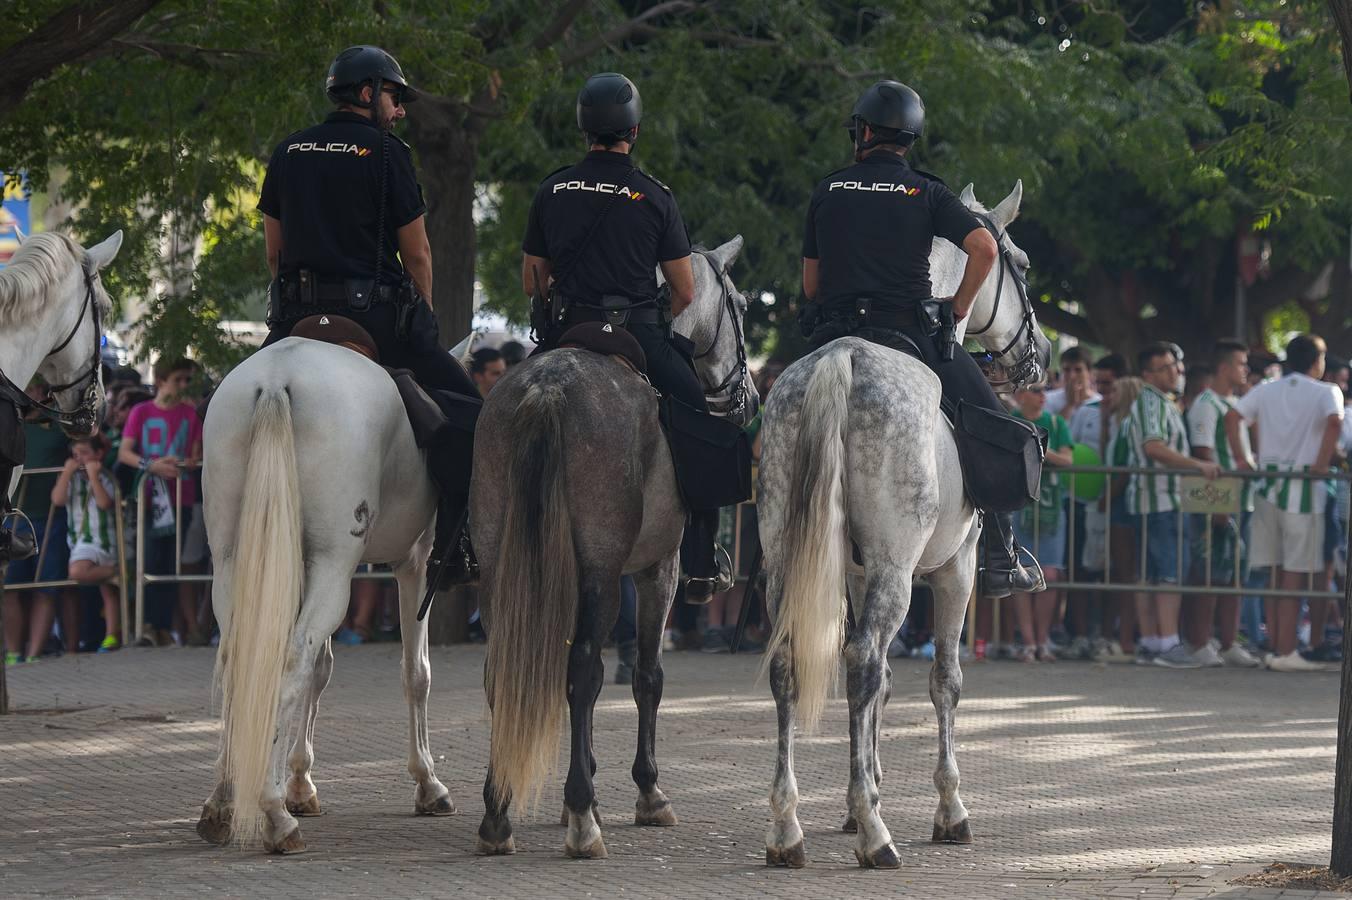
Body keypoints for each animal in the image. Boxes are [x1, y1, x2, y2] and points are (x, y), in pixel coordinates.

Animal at [197, 335, 456, 848]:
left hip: (236, 563)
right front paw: (428, 782)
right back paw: (274, 812)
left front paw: (300, 781)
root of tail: (277, 378)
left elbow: (320, 671)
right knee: (291, 658)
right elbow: (415, 673)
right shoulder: (415, 563)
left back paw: (223, 800)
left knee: (241, 658)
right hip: (336, 566)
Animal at [470, 232, 757, 854]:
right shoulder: (657, 569)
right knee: (583, 671)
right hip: (602, 572)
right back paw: (582, 818)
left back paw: (499, 812)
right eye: (743, 306)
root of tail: (547, 392)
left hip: (502, 565)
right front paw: (645, 792)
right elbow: (647, 676)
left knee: (504, 669)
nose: (747, 396)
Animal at [757, 181, 1049, 864]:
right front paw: (946, 809)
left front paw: (861, 789)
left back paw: (788, 828)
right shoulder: (953, 573)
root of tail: (843, 362)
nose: (1041, 354)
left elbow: (884, 684)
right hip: (900, 565)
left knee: (795, 661)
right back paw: (875, 835)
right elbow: (944, 681)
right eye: (1021, 263)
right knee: (864, 658)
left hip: (788, 554)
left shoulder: (857, 575)